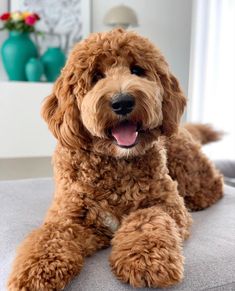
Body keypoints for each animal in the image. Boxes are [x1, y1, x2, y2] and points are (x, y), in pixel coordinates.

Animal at [7, 28, 223, 290]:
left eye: (137, 70)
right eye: (96, 76)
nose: (123, 102)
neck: (115, 163)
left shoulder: (167, 203)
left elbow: (148, 218)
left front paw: (146, 260)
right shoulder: (70, 215)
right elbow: (51, 235)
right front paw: (36, 271)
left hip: (186, 165)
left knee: (213, 184)